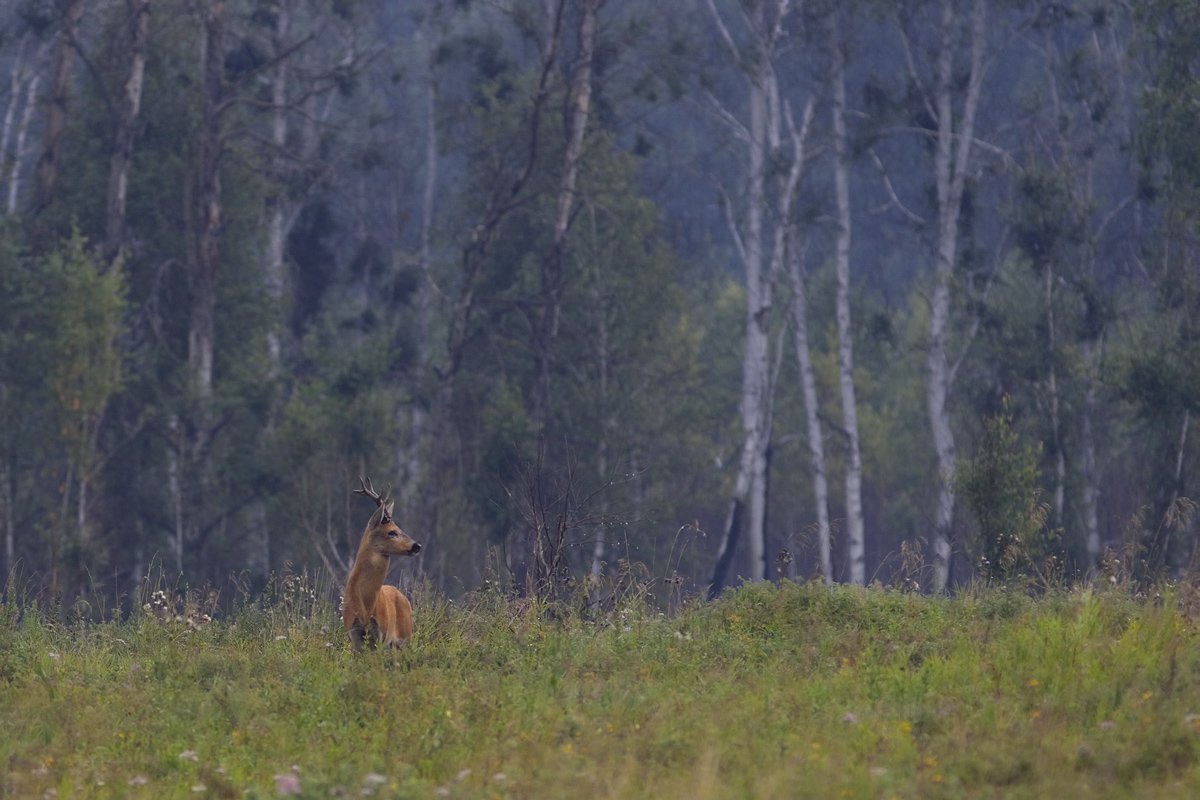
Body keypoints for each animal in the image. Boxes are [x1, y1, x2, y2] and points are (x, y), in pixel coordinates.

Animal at [343, 474, 422, 652]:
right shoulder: (353, 632)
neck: (365, 605)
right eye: (392, 532)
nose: (417, 546)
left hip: (405, 636)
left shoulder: (380, 633)